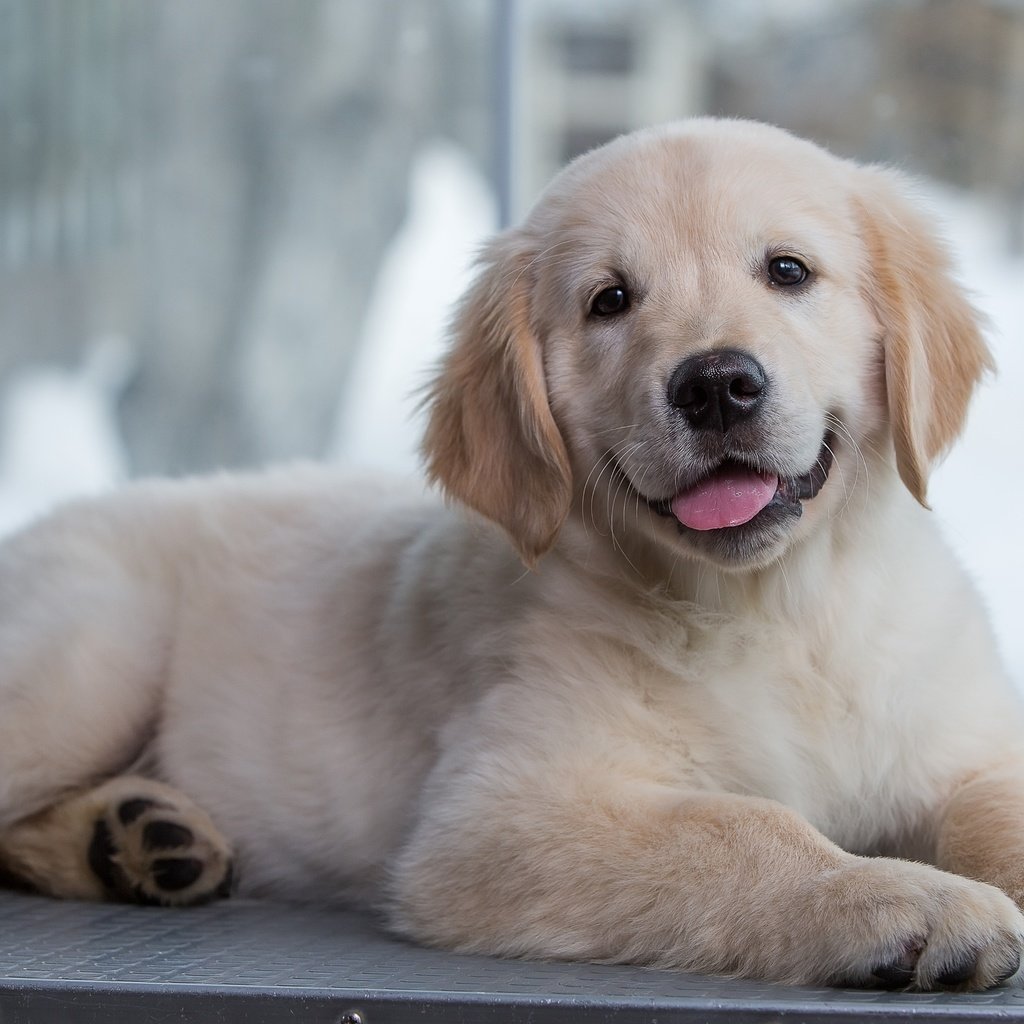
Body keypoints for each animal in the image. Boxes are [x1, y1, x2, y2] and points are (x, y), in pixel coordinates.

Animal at [2, 119, 1024, 991]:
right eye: (610, 301)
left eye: (787, 271)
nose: (717, 385)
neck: (775, 607)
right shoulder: (498, 815)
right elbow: (746, 828)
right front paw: (902, 899)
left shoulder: (967, 745)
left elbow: (994, 806)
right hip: (90, 655)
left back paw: (137, 841)